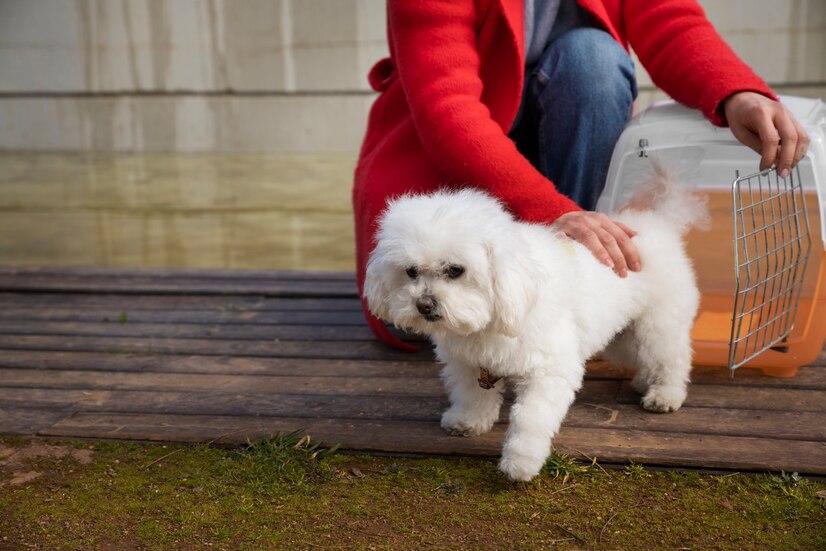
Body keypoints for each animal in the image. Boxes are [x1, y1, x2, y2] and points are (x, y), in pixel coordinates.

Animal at [364, 170, 704, 480]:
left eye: (455, 270)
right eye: (411, 271)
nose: (424, 305)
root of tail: (659, 224)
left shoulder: (549, 370)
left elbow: (531, 418)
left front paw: (521, 462)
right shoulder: (469, 364)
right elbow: (473, 395)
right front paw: (468, 422)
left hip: (658, 324)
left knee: (673, 358)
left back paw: (665, 395)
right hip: (622, 337)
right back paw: (645, 381)